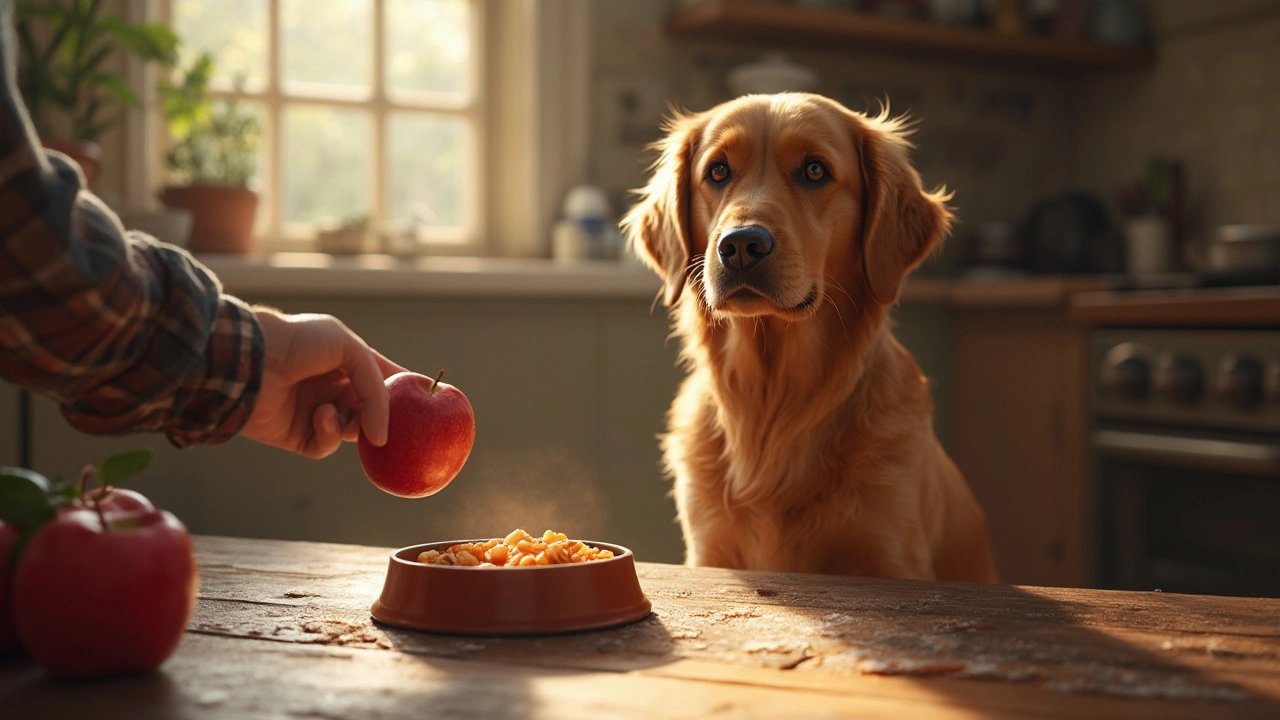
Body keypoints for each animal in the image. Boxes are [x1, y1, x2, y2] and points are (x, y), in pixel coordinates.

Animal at [619, 92, 998, 579]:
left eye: (815, 170)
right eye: (717, 171)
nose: (740, 246)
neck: (774, 400)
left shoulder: (890, 555)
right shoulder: (710, 552)